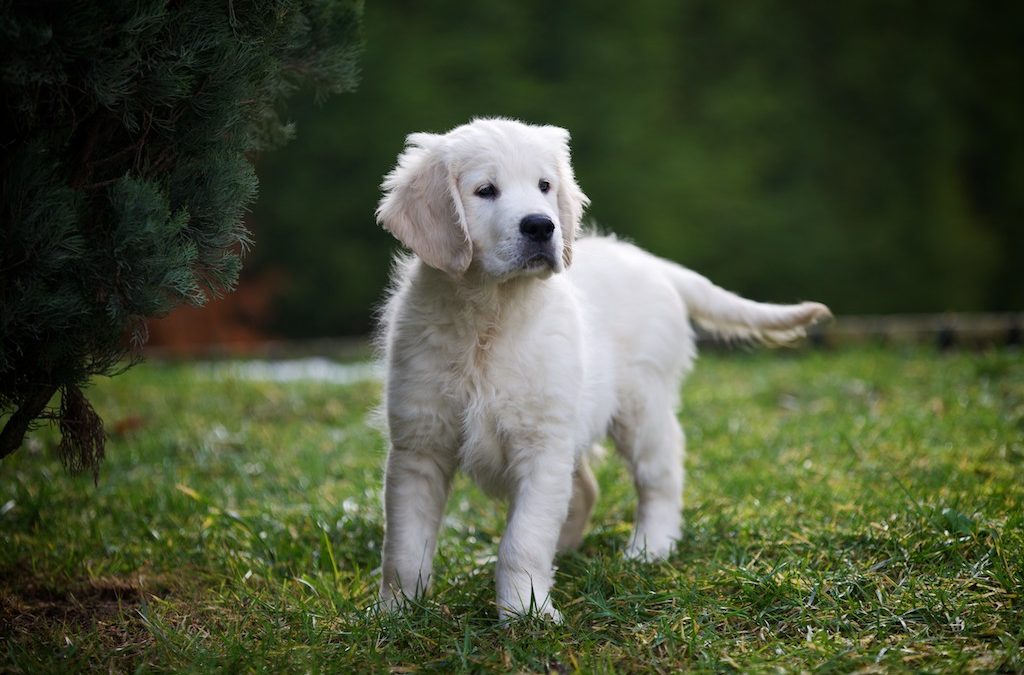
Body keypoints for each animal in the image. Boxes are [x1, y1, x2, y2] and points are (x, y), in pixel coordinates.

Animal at [372, 117, 827, 622]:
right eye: (485, 190)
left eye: (544, 186)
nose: (541, 226)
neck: (489, 317)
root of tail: (650, 262)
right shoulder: (419, 445)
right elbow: (404, 547)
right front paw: (396, 615)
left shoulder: (541, 443)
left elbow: (522, 539)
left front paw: (526, 614)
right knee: (585, 489)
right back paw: (565, 552)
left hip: (641, 405)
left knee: (660, 475)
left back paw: (650, 547)